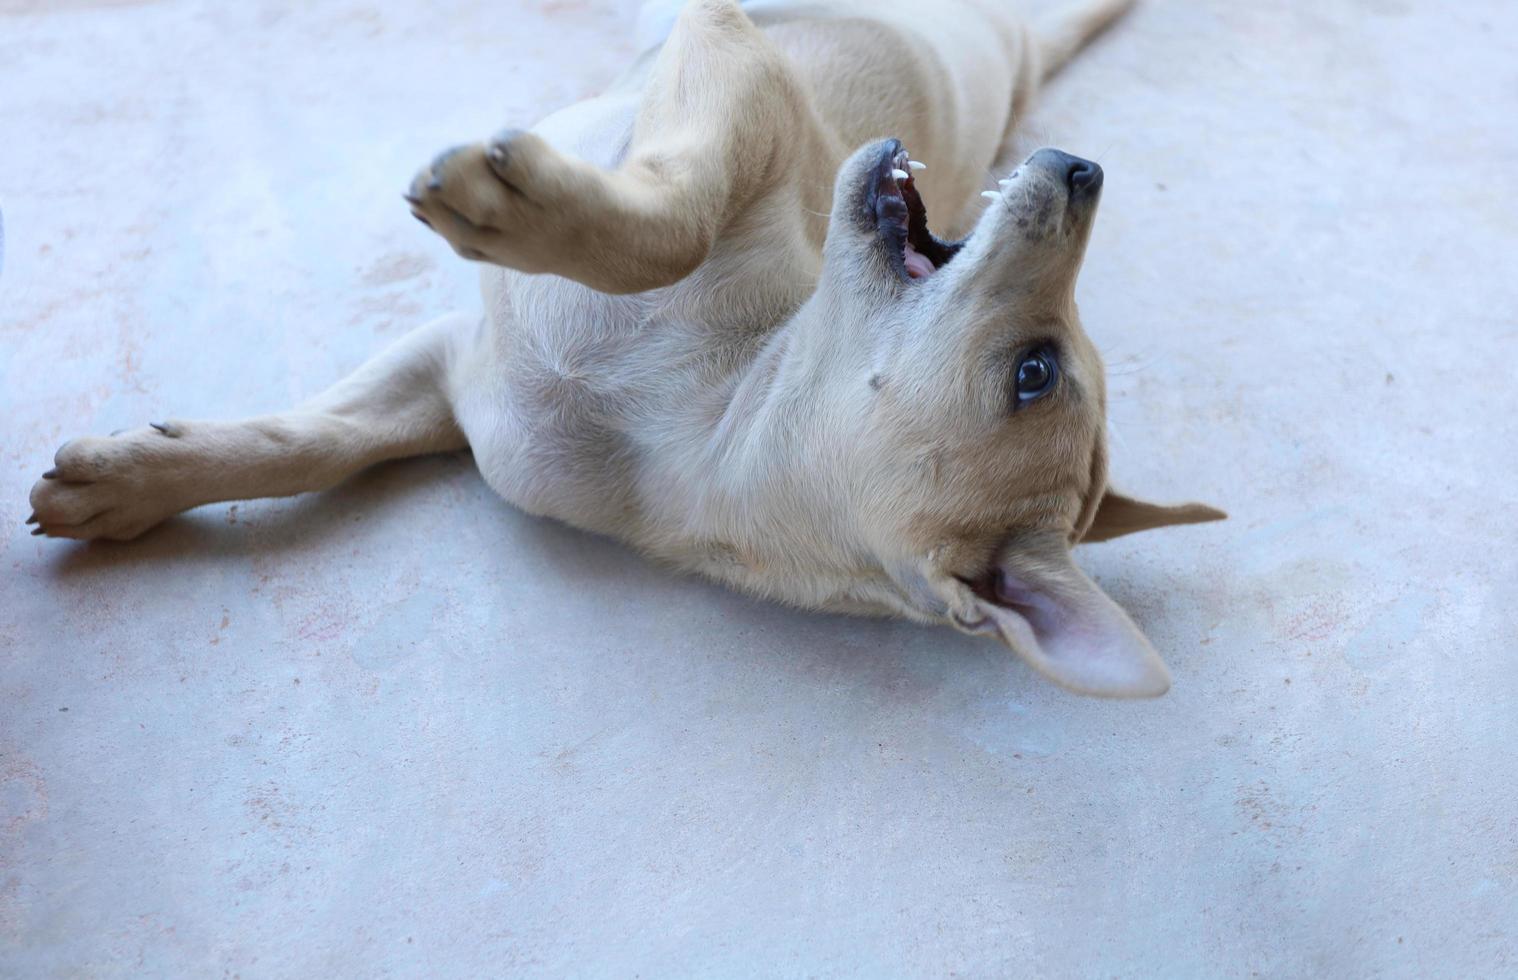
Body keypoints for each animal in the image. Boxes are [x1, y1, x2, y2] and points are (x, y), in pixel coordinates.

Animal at [29, 0, 1220, 697]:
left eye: (1035, 371)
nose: (1084, 170)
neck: (678, 419)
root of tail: (1017, 49)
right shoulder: (450, 360)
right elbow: (311, 443)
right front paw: (136, 483)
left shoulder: (734, 63)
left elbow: (663, 231)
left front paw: (527, 210)